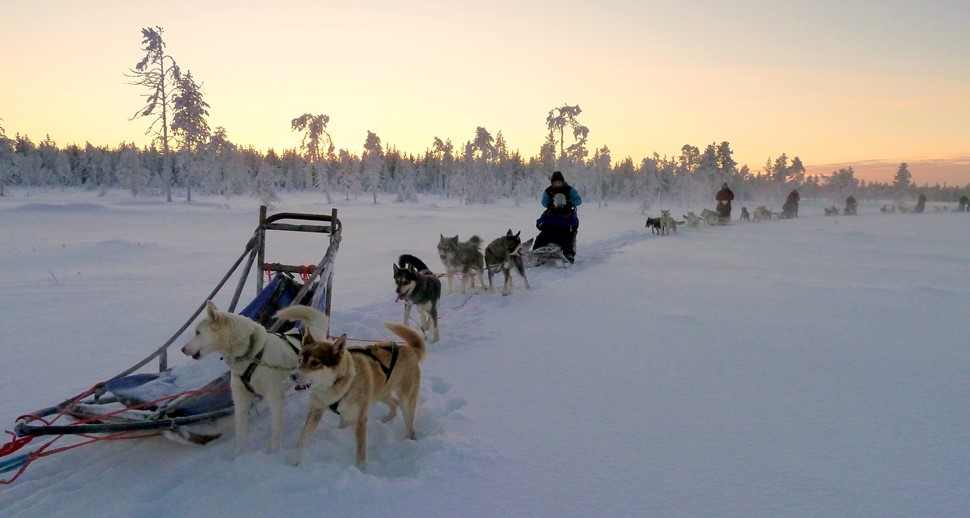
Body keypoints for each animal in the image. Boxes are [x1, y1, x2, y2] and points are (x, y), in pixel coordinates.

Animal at [180, 302, 300, 458]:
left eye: (198, 332)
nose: (182, 349)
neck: (251, 354)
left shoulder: (274, 399)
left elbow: (276, 432)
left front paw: (273, 454)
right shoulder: (241, 400)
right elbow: (240, 433)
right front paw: (239, 456)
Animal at [272, 304, 424, 472]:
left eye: (315, 363)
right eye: (300, 360)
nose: (292, 376)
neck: (337, 384)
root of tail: (410, 349)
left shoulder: (359, 420)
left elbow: (360, 451)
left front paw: (360, 470)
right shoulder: (316, 410)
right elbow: (302, 438)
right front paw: (292, 460)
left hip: (406, 400)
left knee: (408, 423)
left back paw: (408, 441)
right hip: (380, 393)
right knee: (394, 403)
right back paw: (385, 419)